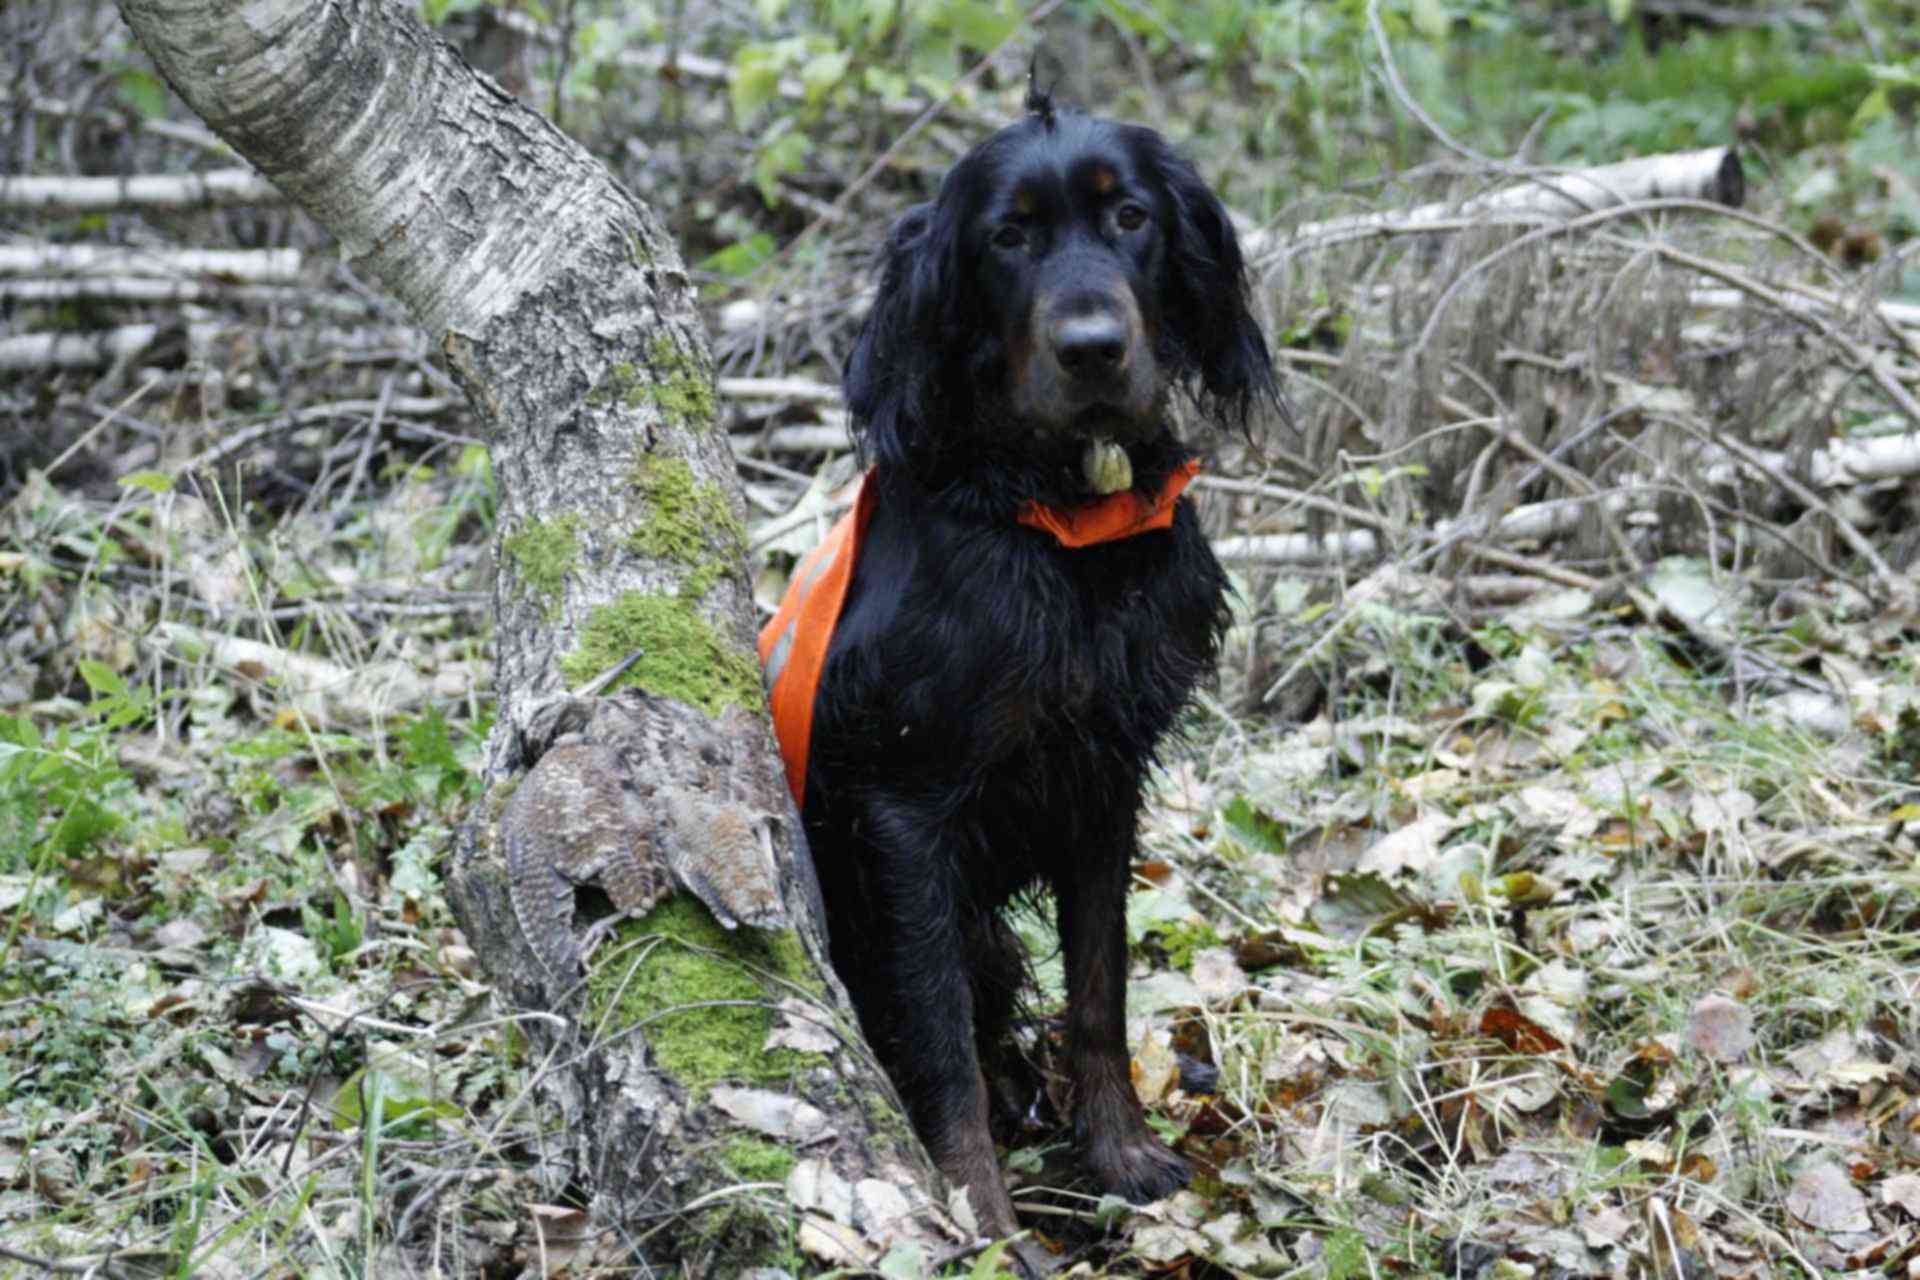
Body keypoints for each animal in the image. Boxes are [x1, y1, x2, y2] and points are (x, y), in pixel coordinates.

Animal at [760, 92, 1274, 1243]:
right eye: (1007, 237)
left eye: (1130, 215)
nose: (1092, 349)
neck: (1055, 511)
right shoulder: (905, 813)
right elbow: (938, 1039)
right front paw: (986, 1222)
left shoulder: (1103, 775)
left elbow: (1099, 986)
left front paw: (1120, 1152)